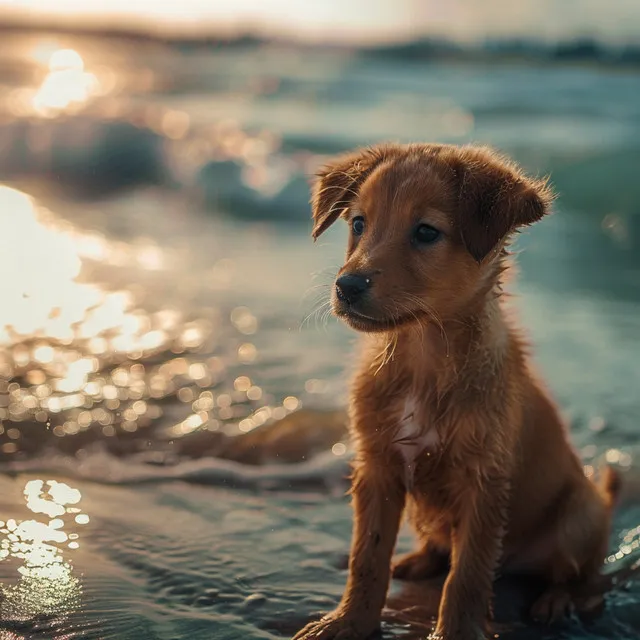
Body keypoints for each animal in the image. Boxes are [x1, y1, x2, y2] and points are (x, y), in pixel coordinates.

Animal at [296, 145, 620, 640]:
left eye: (426, 232)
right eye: (358, 223)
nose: (346, 287)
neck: (423, 358)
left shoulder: (483, 482)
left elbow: (466, 576)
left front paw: (455, 631)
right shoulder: (377, 467)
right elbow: (367, 557)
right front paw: (349, 621)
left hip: (581, 516)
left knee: (581, 576)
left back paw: (555, 601)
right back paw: (416, 561)